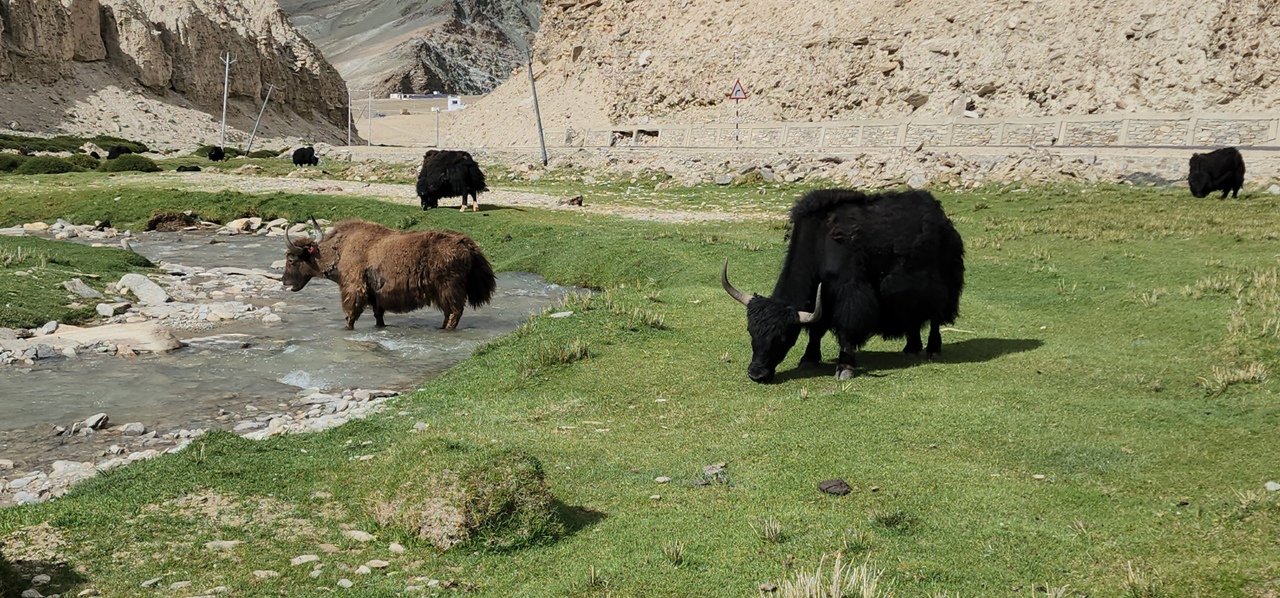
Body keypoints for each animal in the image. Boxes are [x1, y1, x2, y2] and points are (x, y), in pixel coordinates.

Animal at [282, 218, 496, 331]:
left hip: (448, 287)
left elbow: (351, 312)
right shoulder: (376, 295)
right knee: (449, 311)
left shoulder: (354, 288)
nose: (284, 281)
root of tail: (466, 244)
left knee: (454, 311)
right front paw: (380, 326)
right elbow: (378, 314)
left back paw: (446, 329)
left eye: (291, 259)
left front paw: (347, 327)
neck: (339, 250)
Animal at [722, 189, 965, 383]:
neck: (819, 243)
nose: (756, 374)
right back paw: (911, 349)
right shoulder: (822, 298)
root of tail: (941, 215)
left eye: (782, 337)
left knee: (935, 317)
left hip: (944, 284)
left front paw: (845, 367)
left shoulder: (850, 292)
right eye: (750, 332)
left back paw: (933, 349)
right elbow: (816, 330)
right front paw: (809, 359)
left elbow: (847, 327)